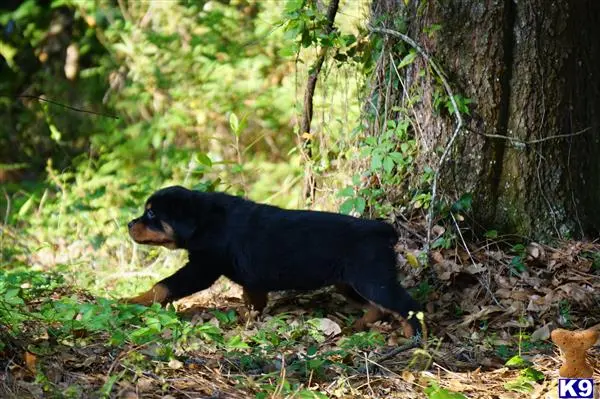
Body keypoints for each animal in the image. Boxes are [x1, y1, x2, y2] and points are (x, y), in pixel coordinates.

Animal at [125, 185, 424, 338]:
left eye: (151, 214)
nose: (129, 224)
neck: (204, 220)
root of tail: (383, 230)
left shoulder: (203, 267)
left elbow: (164, 285)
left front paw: (132, 301)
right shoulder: (250, 279)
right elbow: (253, 300)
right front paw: (247, 319)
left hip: (371, 278)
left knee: (406, 305)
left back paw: (415, 338)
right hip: (349, 282)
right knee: (378, 307)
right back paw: (360, 326)